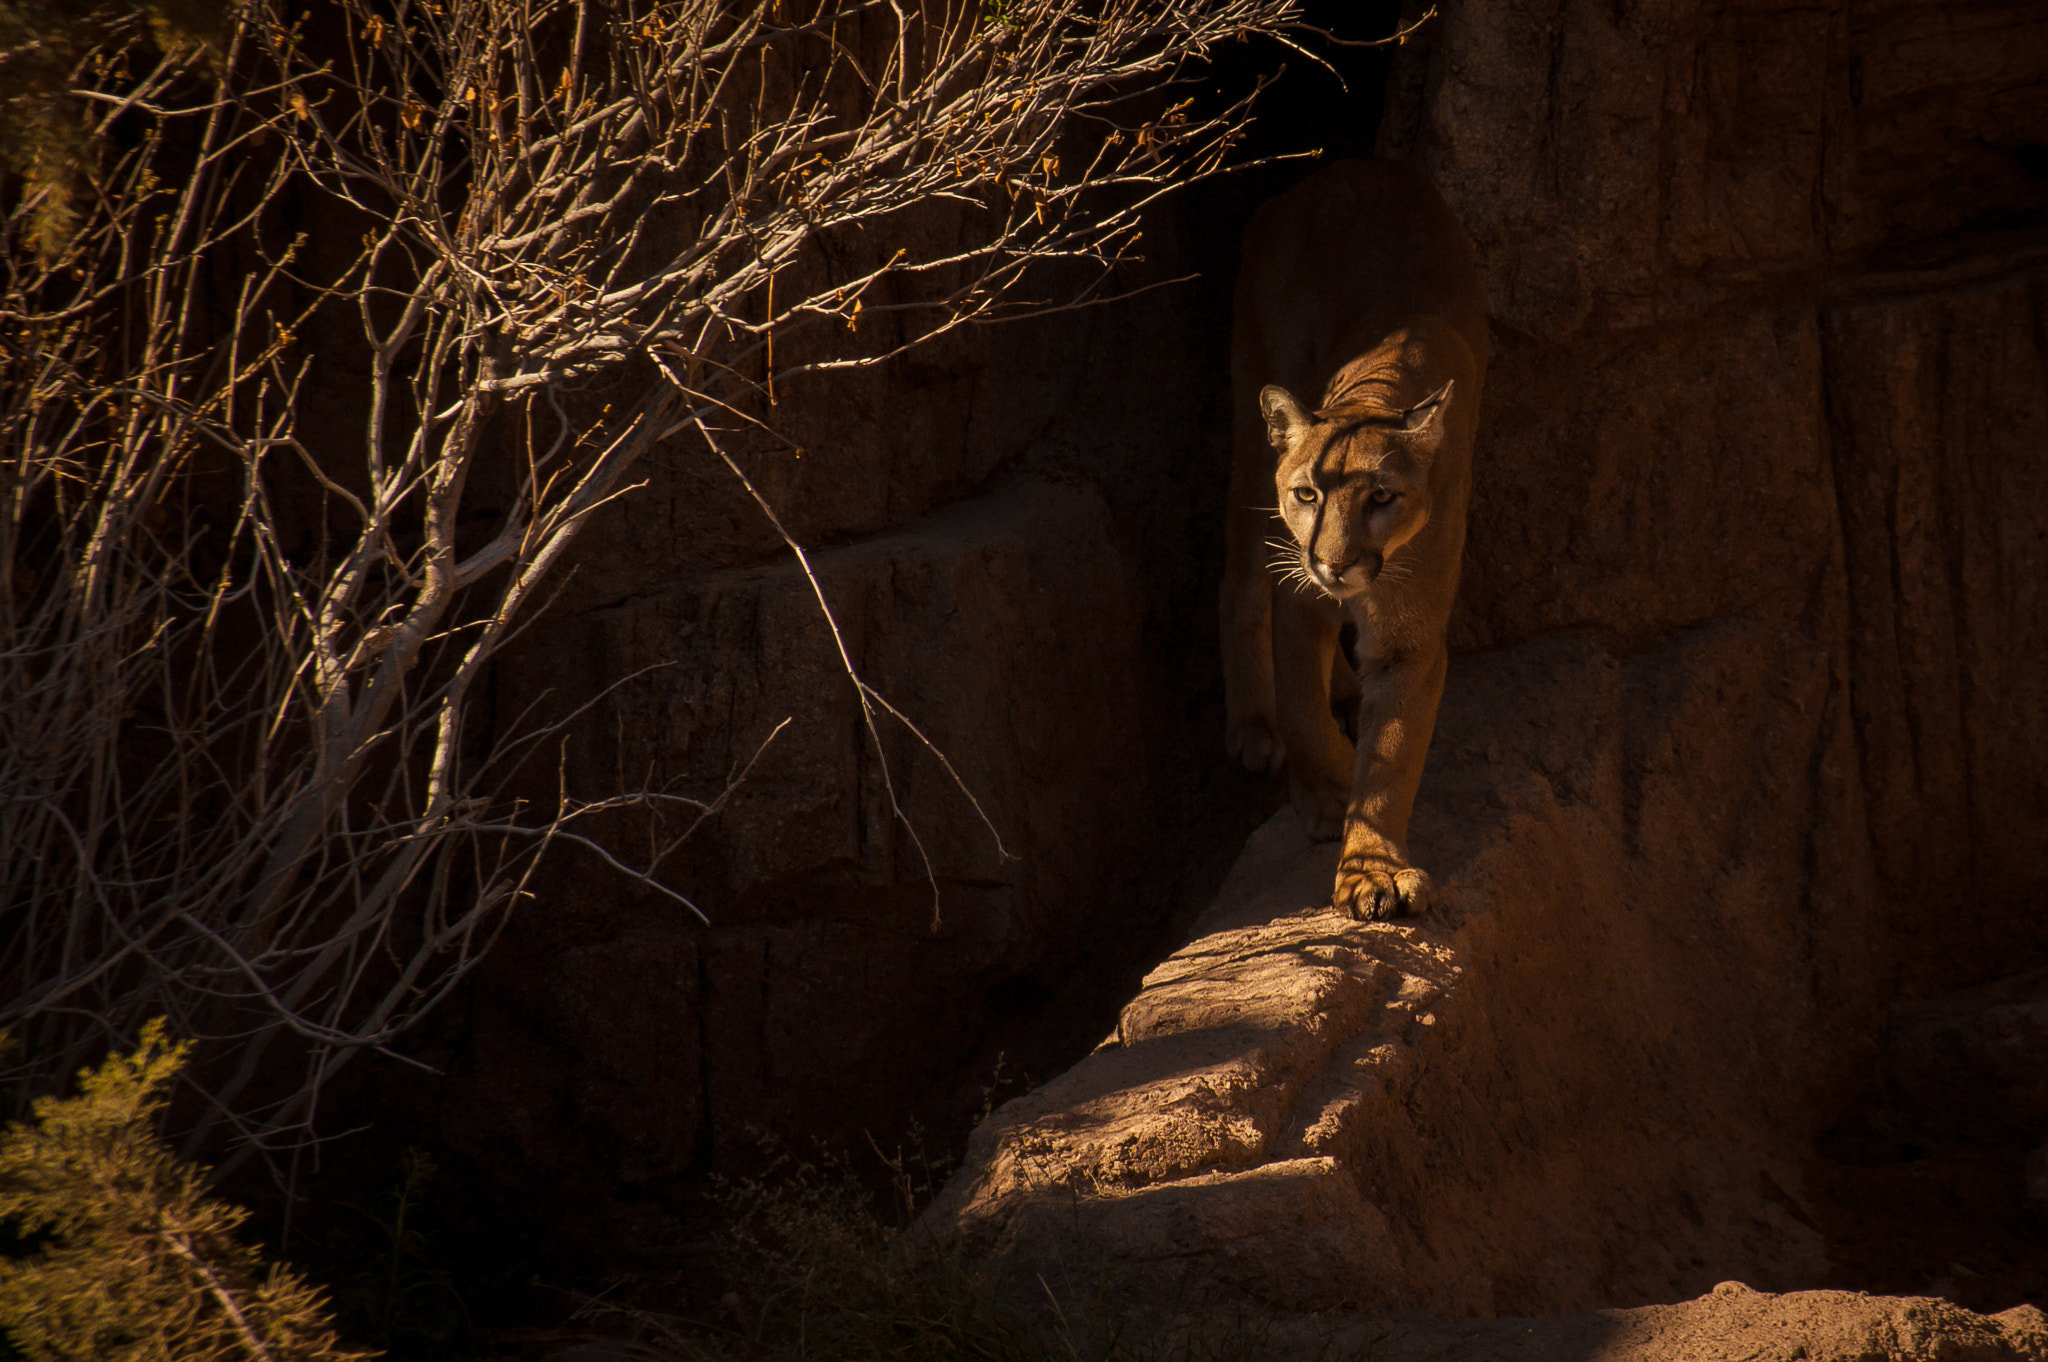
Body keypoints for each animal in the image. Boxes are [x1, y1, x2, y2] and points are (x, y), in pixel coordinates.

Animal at [1212, 161, 1490, 925]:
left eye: (1382, 499)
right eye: (1307, 493)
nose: (1335, 563)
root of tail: (1343, 168)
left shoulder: (1410, 637)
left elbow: (1392, 757)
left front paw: (1373, 870)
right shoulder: (1298, 591)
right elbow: (1303, 711)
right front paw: (1326, 794)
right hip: (1252, 434)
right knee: (1237, 581)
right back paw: (1254, 725)